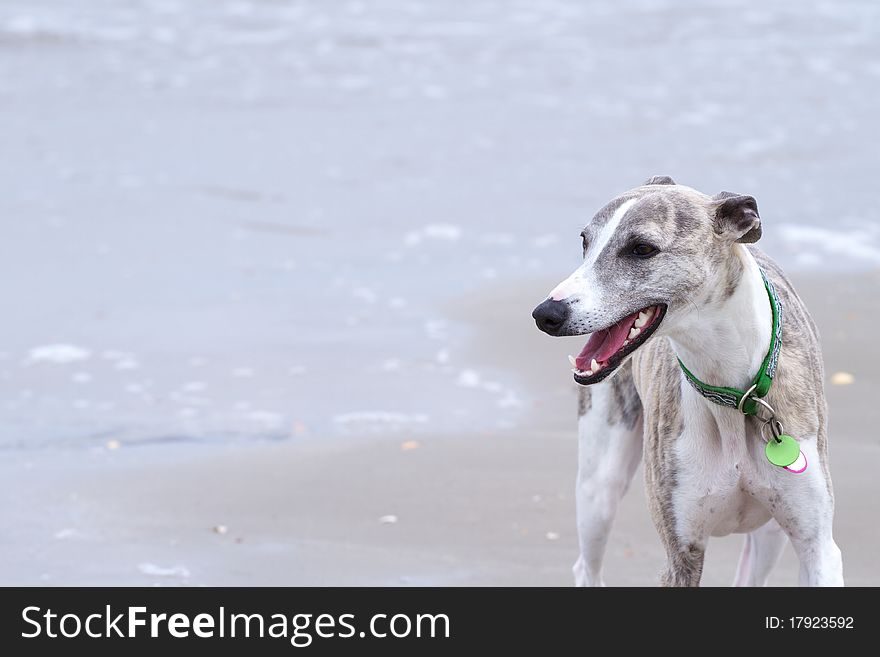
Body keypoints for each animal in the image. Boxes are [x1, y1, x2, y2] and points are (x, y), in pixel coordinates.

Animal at [532, 177, 844, 588]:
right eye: (585, 242)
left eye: (642, 248)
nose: (545, 314)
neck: (734, 394)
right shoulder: (682, 552)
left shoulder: (817, 546)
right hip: (599, 486)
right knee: (586, 565)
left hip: (771, 534)